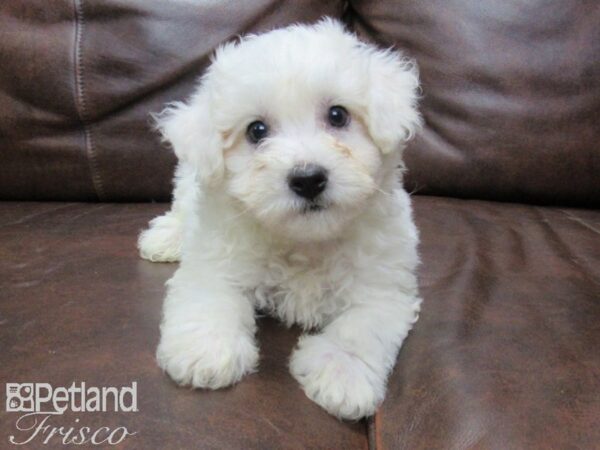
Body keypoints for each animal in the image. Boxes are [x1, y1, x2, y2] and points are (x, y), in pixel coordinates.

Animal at [139, 19, 422, 420]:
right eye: (256, 130)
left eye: (338, 115)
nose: (308, 179)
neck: (305, 240)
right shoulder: (217, 256)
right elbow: (211, 294)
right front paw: (206, 351)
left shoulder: (384, 284)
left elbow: (361, 326)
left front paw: (342, 372)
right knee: (181, 207)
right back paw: (165, 237)